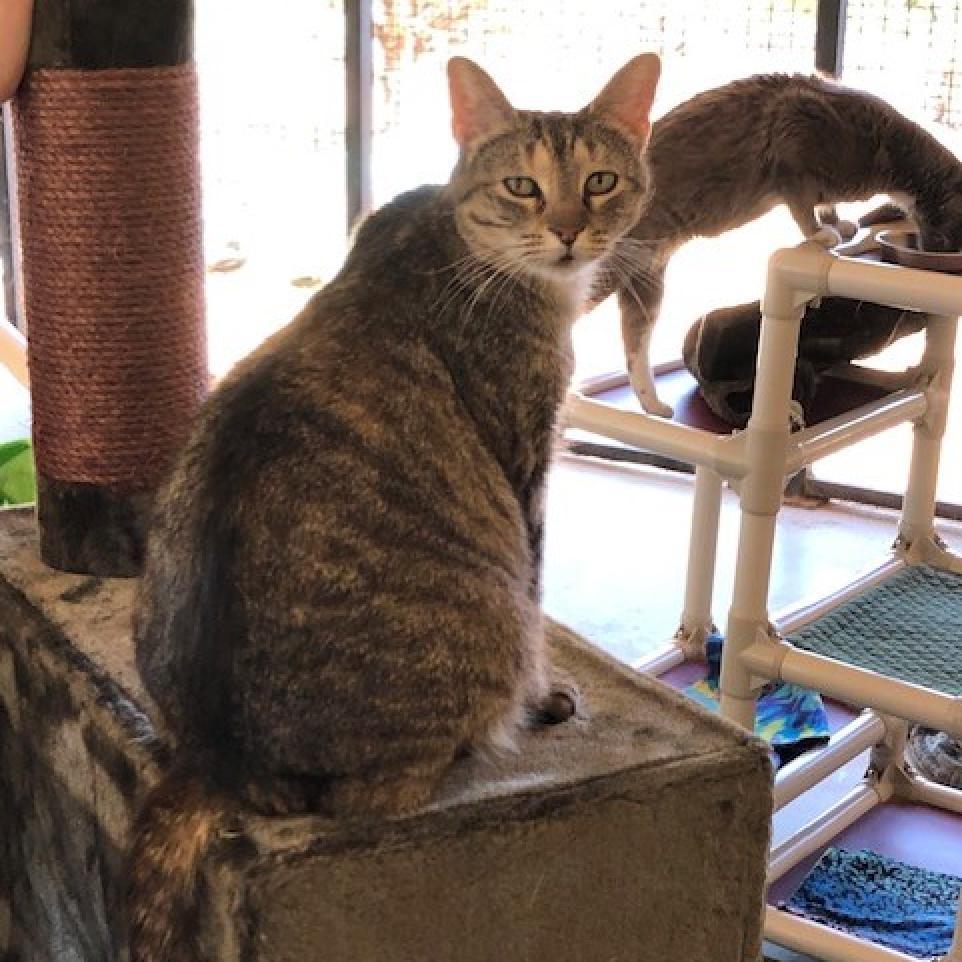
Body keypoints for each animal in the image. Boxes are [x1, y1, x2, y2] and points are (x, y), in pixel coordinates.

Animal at [124, 50, 660, 960]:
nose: (566, 230)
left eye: (600, 181)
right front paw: (544, 697)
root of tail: (212, 757)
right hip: (475, 636)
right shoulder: (526, 460)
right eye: (522, 186)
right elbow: (538, 588)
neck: (453, 231)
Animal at [604, 67, 962, 412]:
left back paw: (652, 404)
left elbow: (825, 206)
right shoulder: (794, 141)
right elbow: (802, 207)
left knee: (635, 341)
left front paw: (840, 225)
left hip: (646, 278)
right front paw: (822, 233)